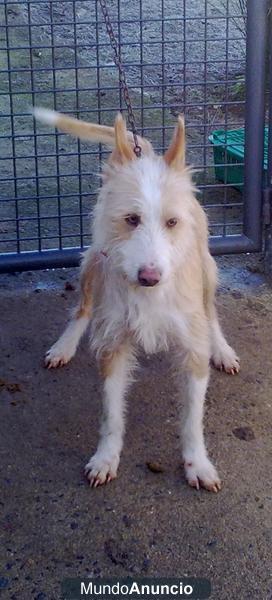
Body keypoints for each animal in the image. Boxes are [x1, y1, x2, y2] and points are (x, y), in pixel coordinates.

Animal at [34, 108, 240, 492]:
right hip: (92, 264)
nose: (149, 277)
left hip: (208, 270)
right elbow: (111, 414)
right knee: (83, 308)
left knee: (211, 313)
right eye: (131, 219)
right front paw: (106, 457)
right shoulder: (114, 344)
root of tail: (150, 155)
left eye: (172, 222)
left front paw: (198, 464)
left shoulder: (191, 349)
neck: (151, 293)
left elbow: (192, 420)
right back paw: (64, 345)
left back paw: (221, 348)